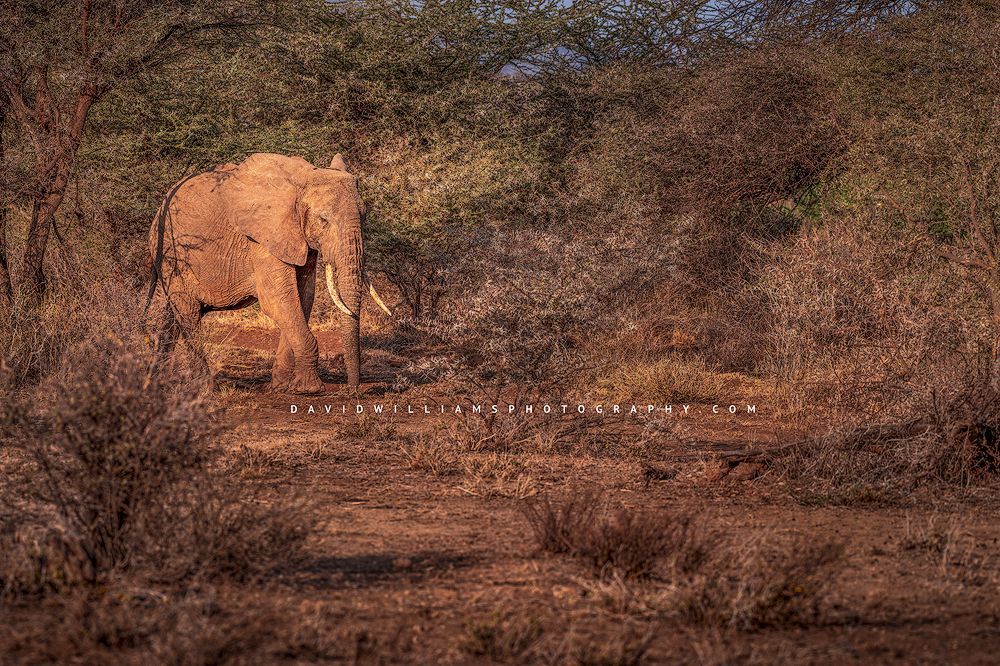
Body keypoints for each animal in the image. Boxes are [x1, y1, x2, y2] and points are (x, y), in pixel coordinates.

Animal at [147, 152, 390, 393]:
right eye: (323, 220)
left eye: (364, 216)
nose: (353, 390)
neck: (301, 182)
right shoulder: (261, 237)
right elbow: (278, 299)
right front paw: (310, 389)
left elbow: (303, 297)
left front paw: (282, 387)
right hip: (173, 256)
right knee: (188, 315)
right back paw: (204, 388)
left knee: (172, 316)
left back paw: (157, 381)